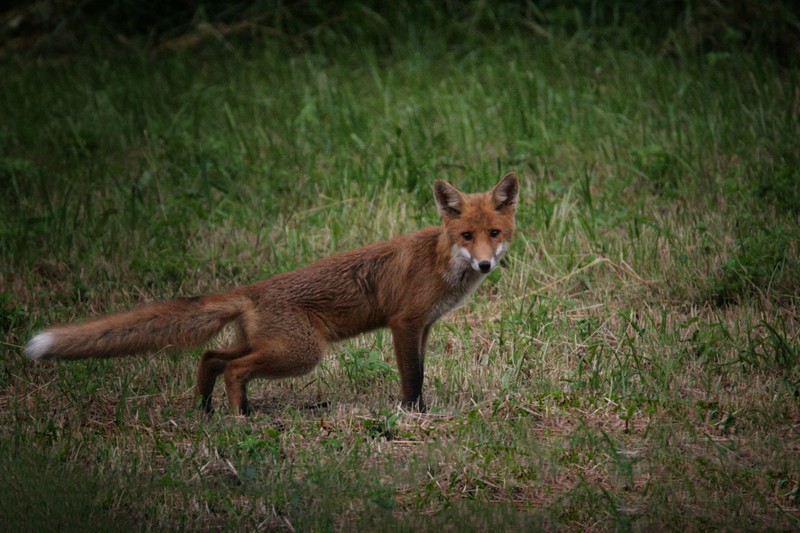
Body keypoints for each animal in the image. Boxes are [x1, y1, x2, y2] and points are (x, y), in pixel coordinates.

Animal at [23, 172, 520, 414]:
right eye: (467, 235)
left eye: (494, 233)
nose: (485, 264)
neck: (441, 262)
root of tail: (252, 289)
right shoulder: (405, 323)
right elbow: (411, 378)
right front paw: (414, 414)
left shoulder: (424, 328)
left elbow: (420, 373)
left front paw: (420, 410)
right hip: (301, 354)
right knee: (233, 367)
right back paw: (240, 414)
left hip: (273, 346)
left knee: (211, 357)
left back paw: (208, 409)